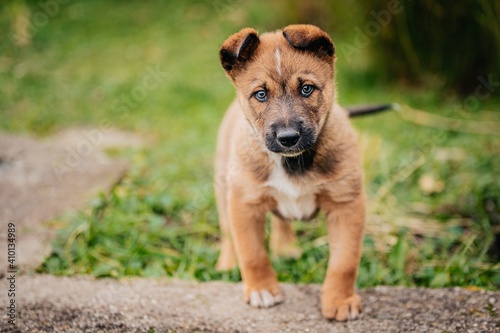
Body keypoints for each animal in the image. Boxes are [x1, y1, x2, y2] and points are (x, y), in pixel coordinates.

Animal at [214, 24, 364, 320]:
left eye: (307, 89)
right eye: (261, 94)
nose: (288, 138)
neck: (292, 162)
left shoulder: (346, 203)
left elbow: (344, 261)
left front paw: (340, 300)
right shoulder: (244, 203)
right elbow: (252, 253)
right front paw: (261, 290)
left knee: (281, 221)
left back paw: (286, 249)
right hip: (223, 187)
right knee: (227, 232)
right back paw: (227, 264)